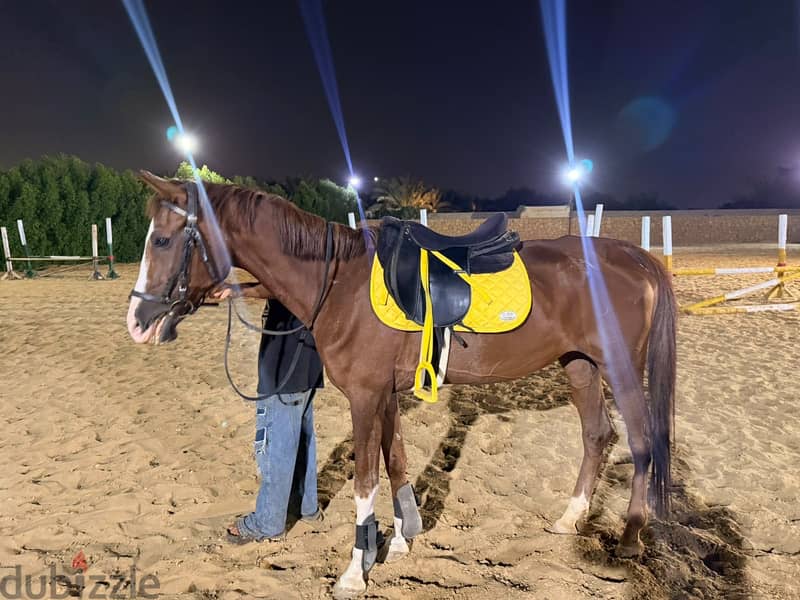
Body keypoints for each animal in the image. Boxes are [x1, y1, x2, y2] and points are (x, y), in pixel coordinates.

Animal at [126, 172, 676, 599]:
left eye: (163, 240)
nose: (137, 322)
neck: (338, 282)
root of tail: (637, 258)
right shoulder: (385, 395)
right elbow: (396, 463)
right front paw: (400, 540)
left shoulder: (365, 398)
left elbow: (365, 480)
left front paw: (354, 571)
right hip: (580, 365)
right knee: (597, 435)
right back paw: (569, 519)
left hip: (621, 369)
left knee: (642, 441)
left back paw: (630, 537)